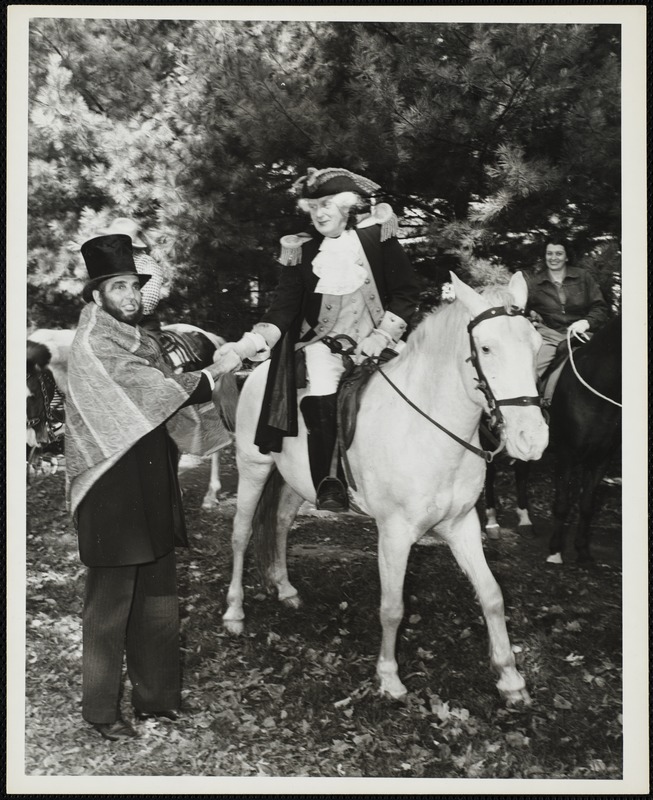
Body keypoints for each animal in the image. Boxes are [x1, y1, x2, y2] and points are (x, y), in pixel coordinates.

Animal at [222, 272, 548, 704]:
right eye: (486, 348)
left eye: (536, 345)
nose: (533, 440)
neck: (428, 429)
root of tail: (258, 374)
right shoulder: (394, 534)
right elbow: (392, 607)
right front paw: (389, 678)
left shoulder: (462, 526)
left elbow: (493, 595)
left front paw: (510, 678)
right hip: (253, 467)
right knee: (241, 534)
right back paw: (234, 612)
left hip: (294, 482)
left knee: (278, 524)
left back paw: (286, 589)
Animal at [484, 316, 620, 564]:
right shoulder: (566, 456)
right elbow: (562, 505)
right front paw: (556, 551)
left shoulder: (602, 459)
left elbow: (587, 506)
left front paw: (583, 551)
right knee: (489, 474)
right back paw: (491, 522)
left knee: (521, 472)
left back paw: (525, 520)